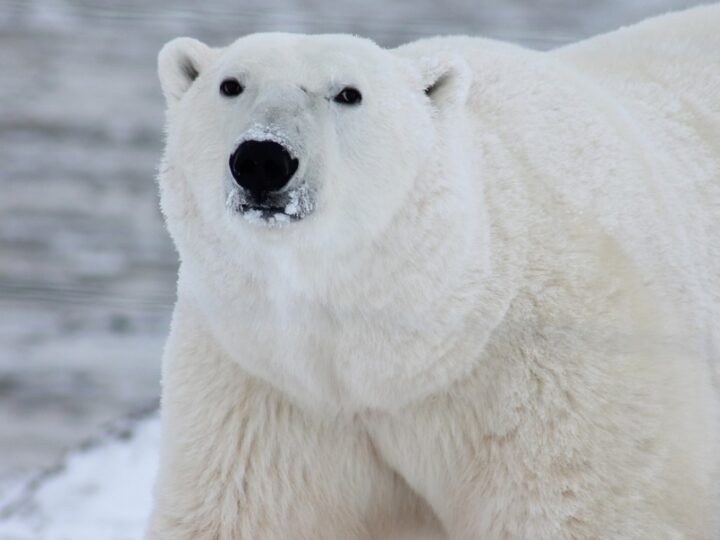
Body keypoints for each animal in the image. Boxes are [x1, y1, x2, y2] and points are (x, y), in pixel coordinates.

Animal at [146, 5, 720, 540]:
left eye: (348, 93)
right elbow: (244, 513)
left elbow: (580, 510)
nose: (263, 159)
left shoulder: (559, 380)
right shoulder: (265, 386)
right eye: (230, 84)